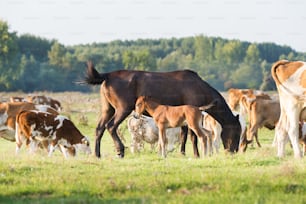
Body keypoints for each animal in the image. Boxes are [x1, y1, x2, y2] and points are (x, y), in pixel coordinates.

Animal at [83, 61, 241, 158]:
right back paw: (120, 150)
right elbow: (192, 136)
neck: (199, 87)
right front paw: (196, 155)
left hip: (108, 109)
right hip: (123, 109)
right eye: (237, 132)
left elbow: (184, 135)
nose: (234, 151)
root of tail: (107, 76)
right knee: (110, 126)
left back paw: (97, 155)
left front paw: (182, 153)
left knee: (99, 128)